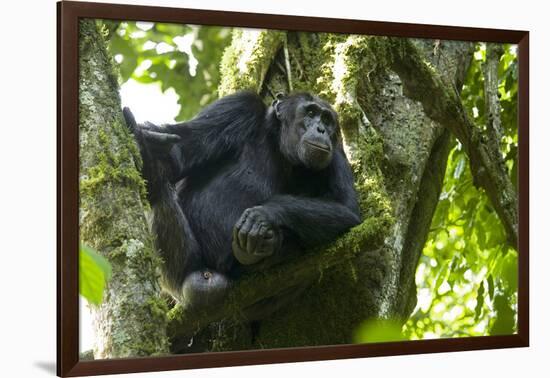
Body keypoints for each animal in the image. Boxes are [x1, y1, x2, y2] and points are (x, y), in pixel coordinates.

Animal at [123, 91, 362, 310]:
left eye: (327, 120)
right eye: (310, 113)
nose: (321, 129)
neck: (279, 146)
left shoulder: (336, 152)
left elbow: (347, 209)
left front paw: (263, 215)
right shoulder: (237, 107)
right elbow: (178, 156)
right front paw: (143, 142)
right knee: (160, 188)